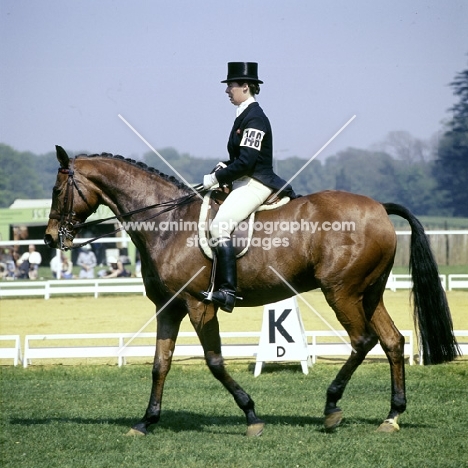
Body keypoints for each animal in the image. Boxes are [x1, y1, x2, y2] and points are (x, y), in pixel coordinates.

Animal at [44, 145, 460, 436]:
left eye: (58, 188)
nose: (49, 238)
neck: (168, 223)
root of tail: (378, 208)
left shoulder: (199, 306)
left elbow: (214, 361)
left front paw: (251, 415)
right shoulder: (169, 307)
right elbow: (160, 364)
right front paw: (146, 422)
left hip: (340, 292)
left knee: (363, 340)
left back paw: (331, 408)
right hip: (368, 292)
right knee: (392, 341)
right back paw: (392, 416)